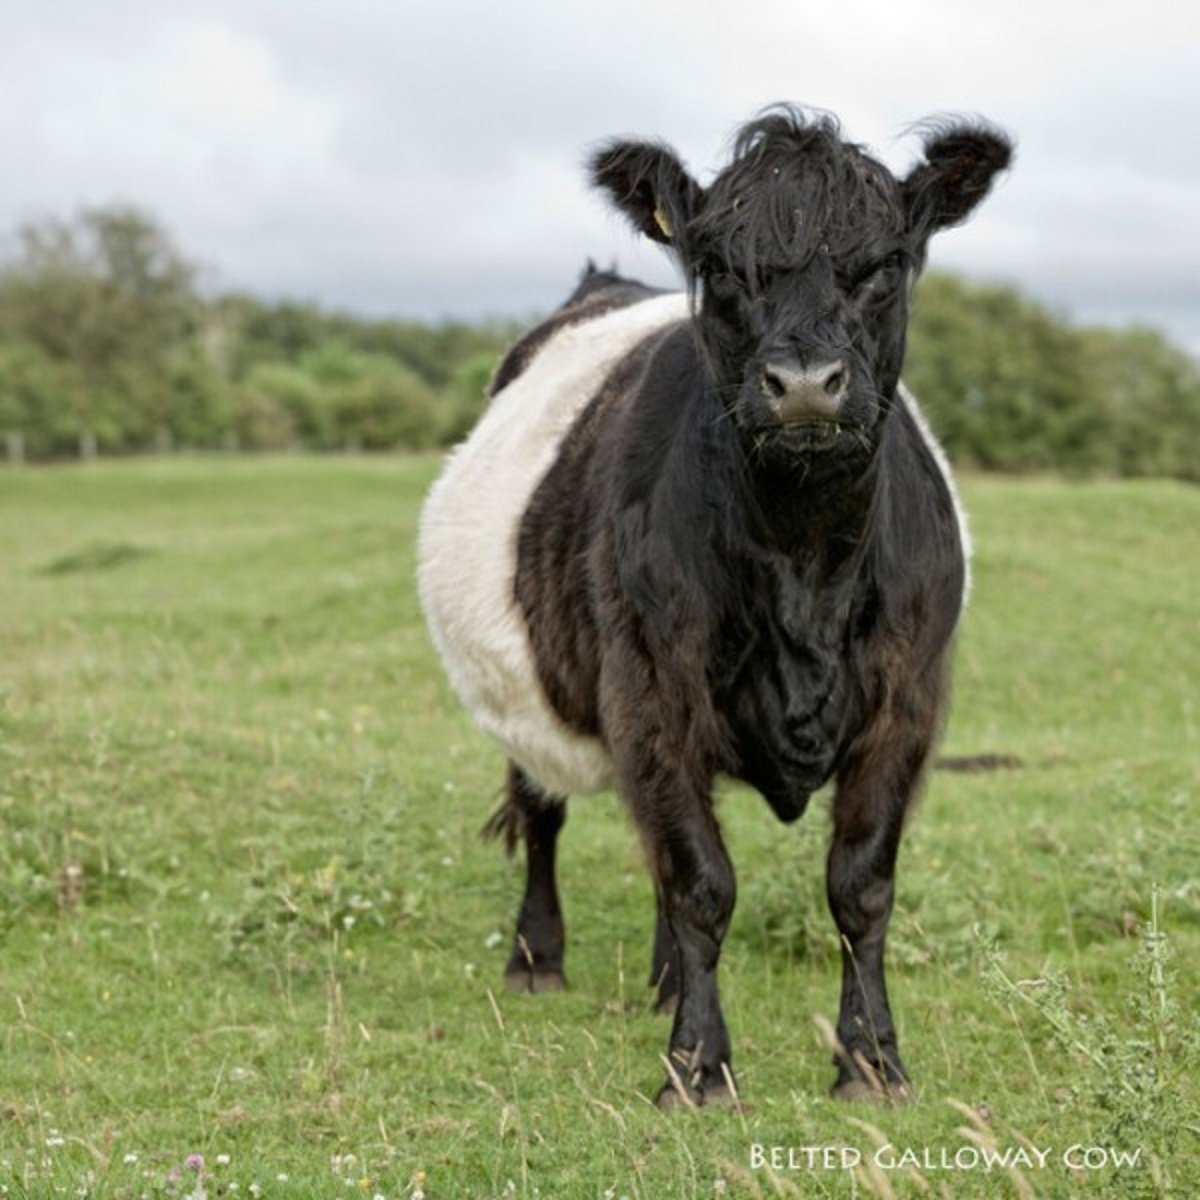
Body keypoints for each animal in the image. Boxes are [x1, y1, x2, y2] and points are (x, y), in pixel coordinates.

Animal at [417, 106, 1012, 1108]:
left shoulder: (908, 702)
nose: (805, 383)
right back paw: (537, 957)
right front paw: (697, 1067)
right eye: (722, 267)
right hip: (526, 691)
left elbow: (859, 887)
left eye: (885, 262)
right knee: (545, 812)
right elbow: (703, 881)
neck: (805, 562)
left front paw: (872, 1062)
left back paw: (661, 980)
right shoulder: (651, 691)